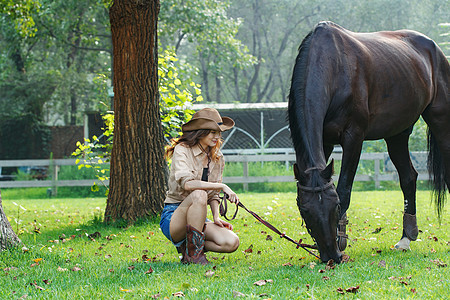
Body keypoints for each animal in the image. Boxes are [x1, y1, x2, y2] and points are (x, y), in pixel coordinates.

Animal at [290, 21, 448, 262]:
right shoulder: (324, 143)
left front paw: (342, 239)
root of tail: (436, 50)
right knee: (408, 177)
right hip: (397, 134)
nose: (331, 256)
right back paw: (406, 238)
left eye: (335, 207)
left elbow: (345, 188)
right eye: (305, 210)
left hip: (440, 121)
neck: (334, 67)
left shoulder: (354, 137)